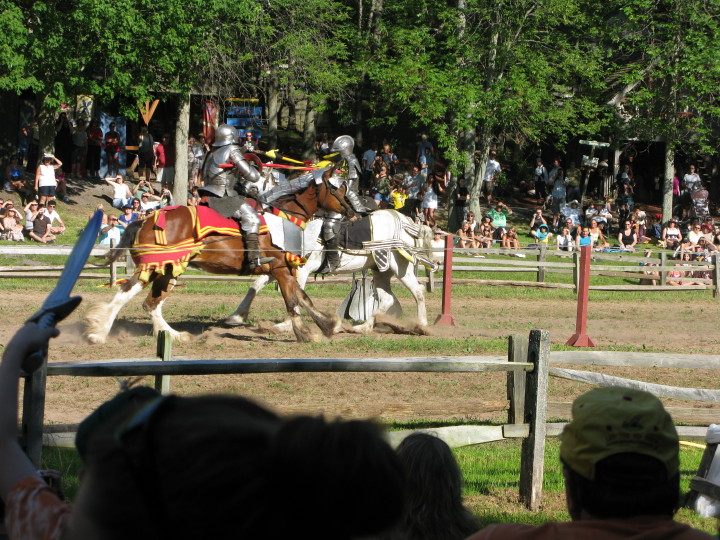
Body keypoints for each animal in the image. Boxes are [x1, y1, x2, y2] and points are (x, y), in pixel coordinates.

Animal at [83, 171, 352, 344]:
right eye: (336, 188)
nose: (353, 210)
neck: (284, 219)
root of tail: (144, 220)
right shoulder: (281, 270)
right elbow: (293, 302)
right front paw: (305, 333)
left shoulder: (284, 271)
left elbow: (304, 298)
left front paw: (328, 325)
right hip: (157, 268)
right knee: (130, 294)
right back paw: (100, 332)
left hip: (166, 271)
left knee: (150, 303)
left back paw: (171, 335)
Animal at [228, 209, 436, 332]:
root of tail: (406, 222)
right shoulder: (280, 270)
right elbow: (255, 287)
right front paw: (236, 316)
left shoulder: (301, 271)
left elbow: (293, 296)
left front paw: (286, 325)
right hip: (381, 271)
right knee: (387, 299)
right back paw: (363, 327)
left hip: (401, 269)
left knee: (418, 291)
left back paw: (422, 325)